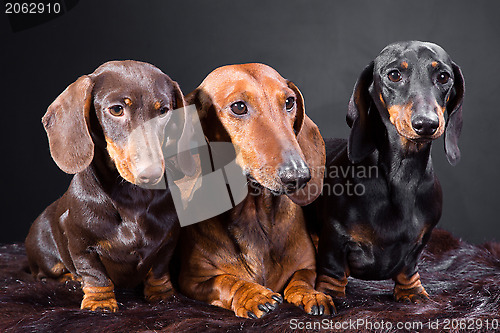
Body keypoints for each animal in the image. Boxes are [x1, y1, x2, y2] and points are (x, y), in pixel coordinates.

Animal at [28, 41, 464, 316]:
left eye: (288, 102)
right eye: (238, 107)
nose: (297, 175)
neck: (257, 214)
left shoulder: (310, 262)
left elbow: (304, 280)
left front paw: (310, 295)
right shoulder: (195, 280)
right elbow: (228, 282)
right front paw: (255, 295)